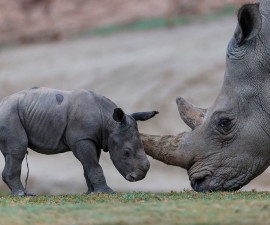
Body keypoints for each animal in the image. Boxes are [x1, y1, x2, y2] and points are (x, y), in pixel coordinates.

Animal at [0, 87, 158, 196]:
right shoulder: (82, 139)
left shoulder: (93, 139)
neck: (109, 123)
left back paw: (22, 193)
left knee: (9, 153)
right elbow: (94, 166)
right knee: (18, 150)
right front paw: (107, 192)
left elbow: (89, 166)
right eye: (126, 153)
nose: (138, 177)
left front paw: (91, 193)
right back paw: (22, 194)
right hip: (9, 115)